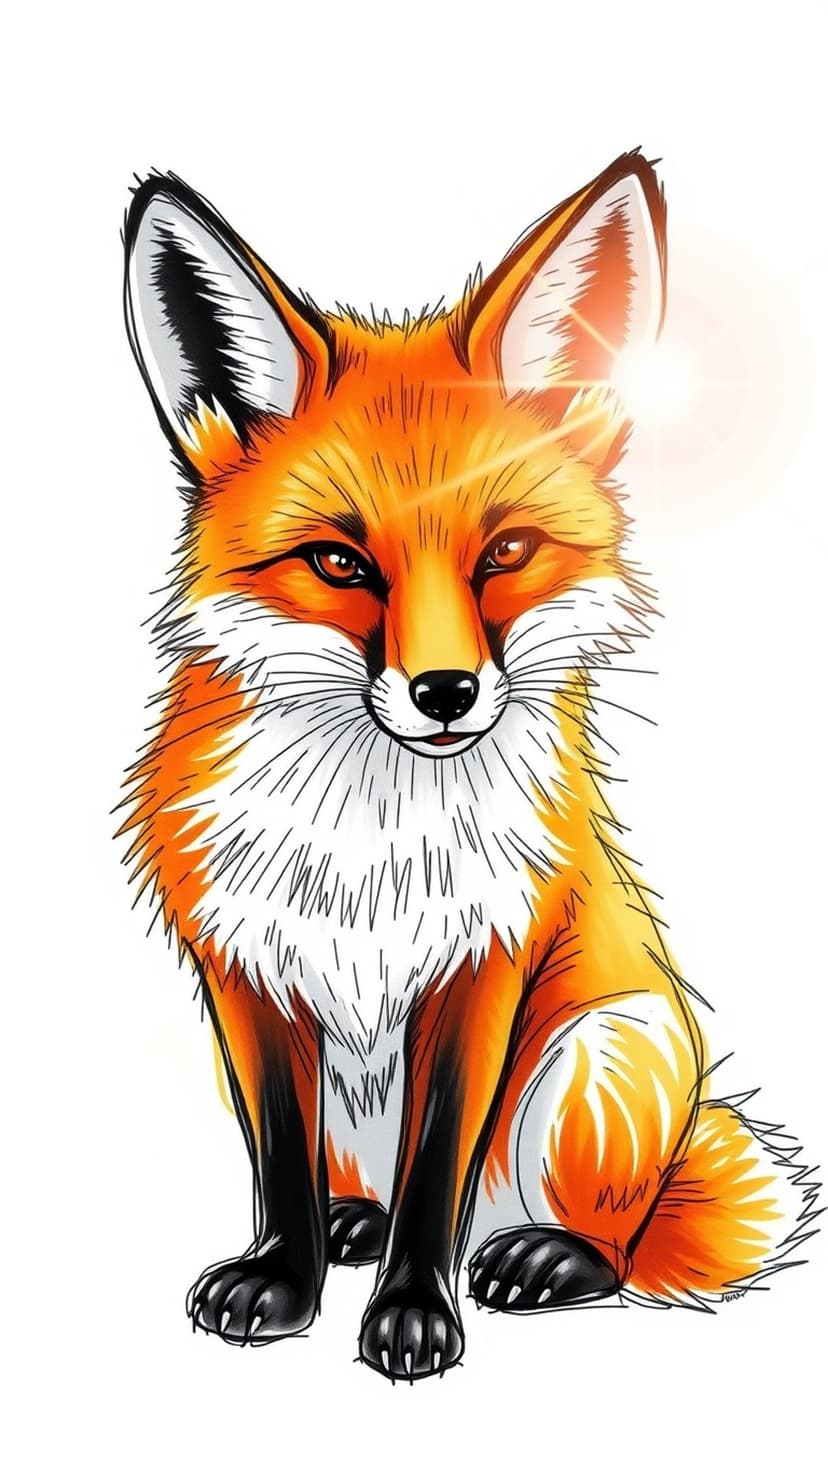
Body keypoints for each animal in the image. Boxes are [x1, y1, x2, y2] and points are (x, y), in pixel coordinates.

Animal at [120, 151, 815, 1381]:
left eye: (506, 552)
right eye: (339, 562)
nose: (446, 694)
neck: (367, 841)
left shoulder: (484, 959)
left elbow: (437, 1162)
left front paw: (411, 1314)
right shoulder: (244, 969)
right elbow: (282, 1165)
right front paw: (285, 1280)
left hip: (607, 1046)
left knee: (609, 1237)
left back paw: (545, 1256)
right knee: (357, 1185)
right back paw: (354, 1227)